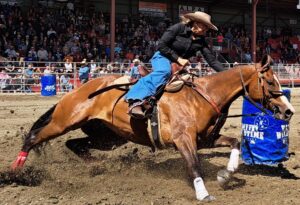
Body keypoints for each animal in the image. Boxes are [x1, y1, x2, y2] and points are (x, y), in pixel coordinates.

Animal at [11, 54, 292, 202]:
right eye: (269, 81)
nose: (288, 111)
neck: (202, 96)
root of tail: (80, 89)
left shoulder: (205, 139)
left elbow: (235, 142)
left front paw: (226, 174)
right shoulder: (184, 140)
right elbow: (194, 166)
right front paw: (203, 193)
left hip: (107, 136)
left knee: (76, 145)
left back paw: (96, 166)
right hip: (65, 120)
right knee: (34, 136)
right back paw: (15, 171)